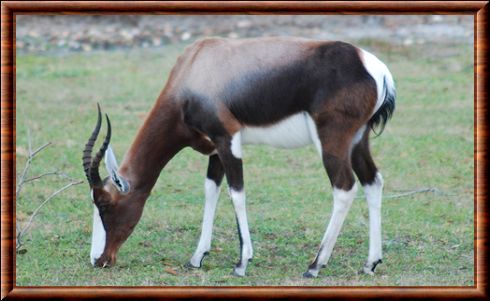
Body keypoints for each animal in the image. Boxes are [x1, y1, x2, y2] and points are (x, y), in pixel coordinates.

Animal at [83, 35, 394, 276]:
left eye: (105, 204)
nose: (99, 260)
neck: (197, 67)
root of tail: (375, 69)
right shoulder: (215, 149)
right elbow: (211, 191)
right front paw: (197, 258)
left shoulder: (227, 139)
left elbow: (237, 193)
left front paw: (242, 263)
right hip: (358, 141)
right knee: (373, 181)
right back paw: (370, 263)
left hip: (332, 141)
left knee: (344, 188)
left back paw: (315, 265)